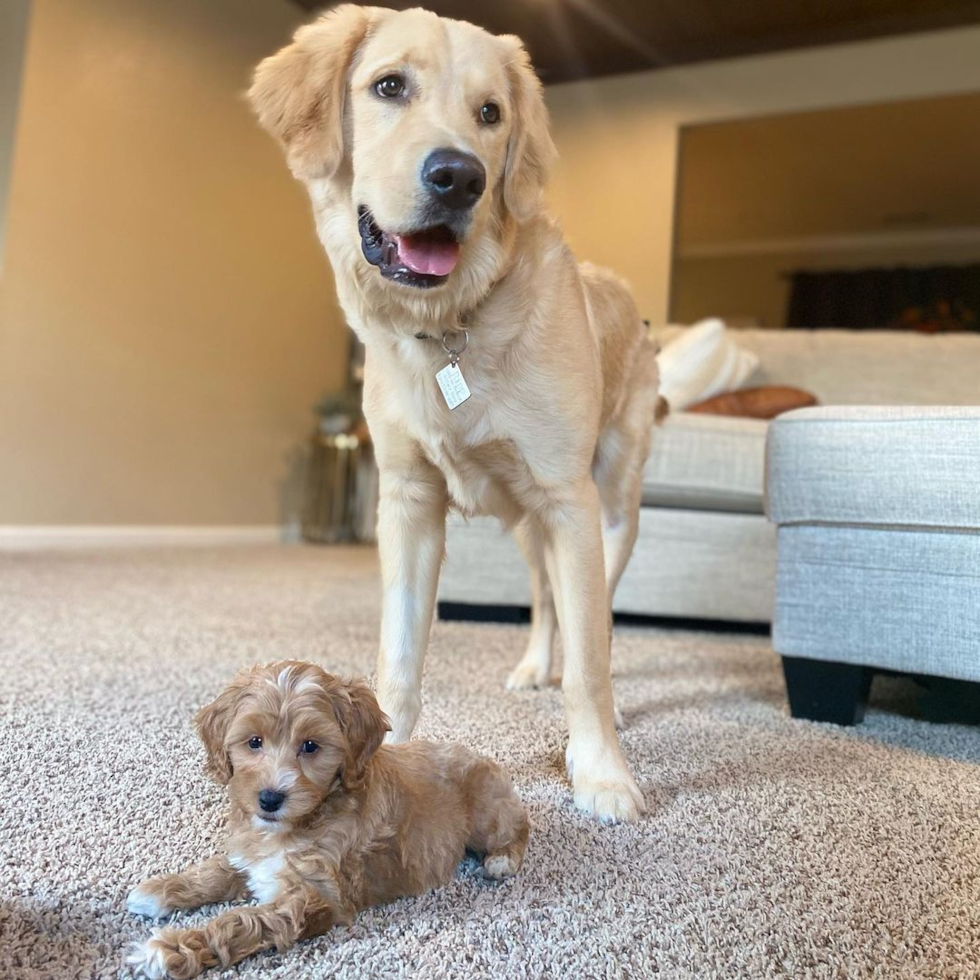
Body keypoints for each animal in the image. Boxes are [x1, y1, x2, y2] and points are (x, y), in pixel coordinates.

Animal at [129, 664, 532, 976]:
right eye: (254, 742)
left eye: (310, 746)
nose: (270, 799)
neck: (301, 821)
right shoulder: (254, 858)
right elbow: (217, 870)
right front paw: (160, 889)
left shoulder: (315, 897)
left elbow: (243, 921)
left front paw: (170, 950)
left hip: (486, 809)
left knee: (519, 826)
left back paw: (500, 860)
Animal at [251, 3, 660, 824]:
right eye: (389, 86)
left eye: (491, 113)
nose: (459, 176)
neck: (450, 323)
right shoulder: (408, 503)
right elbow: (399, 656)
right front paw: (385, 759)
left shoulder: (569, 502)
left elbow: (592, 663)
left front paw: (601, 771)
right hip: (531, 529)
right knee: (545, 602)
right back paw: (535, 665)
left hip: (612, 511)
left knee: (596, 614)